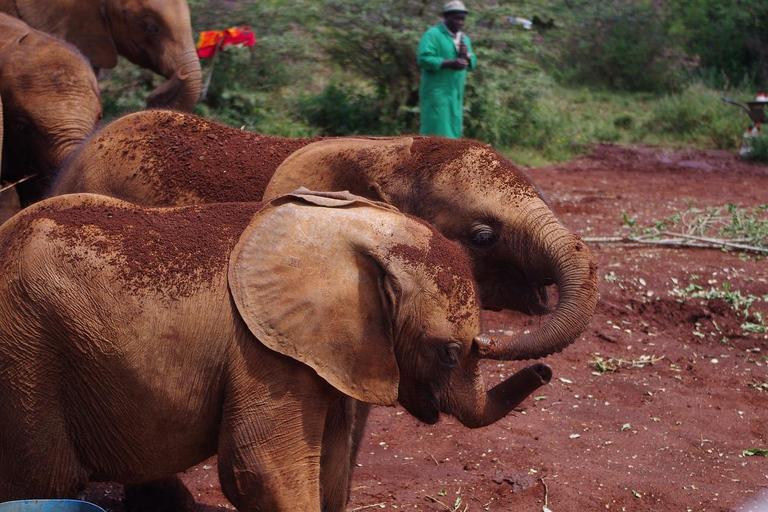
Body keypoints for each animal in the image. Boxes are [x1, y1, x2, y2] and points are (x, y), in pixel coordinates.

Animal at [0, 190, 552, 510]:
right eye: (448, 353)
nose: (546, 372)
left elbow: (330, 464)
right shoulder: (264, 352)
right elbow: (260, 469)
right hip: (25, 351)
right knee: (44, 482)